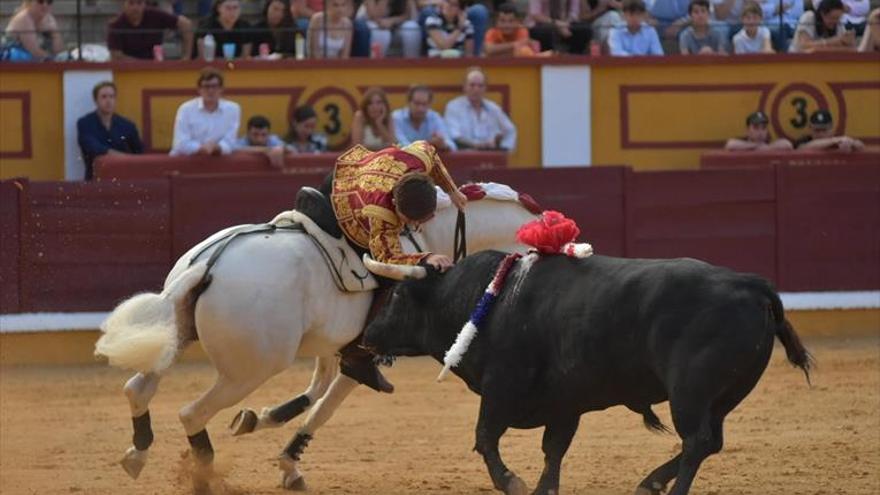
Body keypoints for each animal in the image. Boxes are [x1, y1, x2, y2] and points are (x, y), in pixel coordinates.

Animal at [94, 186, 536, 492]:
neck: (429, 238)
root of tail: (207, 266)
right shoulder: (360, 358)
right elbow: (326, 405)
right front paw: (284, 456)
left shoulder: (332, 346)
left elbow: (314, 394)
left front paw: (263, 427)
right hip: (249, 370)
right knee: (191, 413)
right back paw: (205, 479)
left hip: (177, 335)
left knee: (137, 388)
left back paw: (137, 454)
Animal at [364, 252, 812, 495]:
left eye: (398, 295)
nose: (368, 335)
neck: (484, 299)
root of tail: (751, 285)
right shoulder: (565, 403)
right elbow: (553, 449)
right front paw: (543, 488)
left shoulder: (500, 389)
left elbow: (485, 438)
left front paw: (513, 482)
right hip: (724, 396)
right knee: (710, 441)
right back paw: (650, 482)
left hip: (690, 391)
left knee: (697, 441)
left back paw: (669, 488)